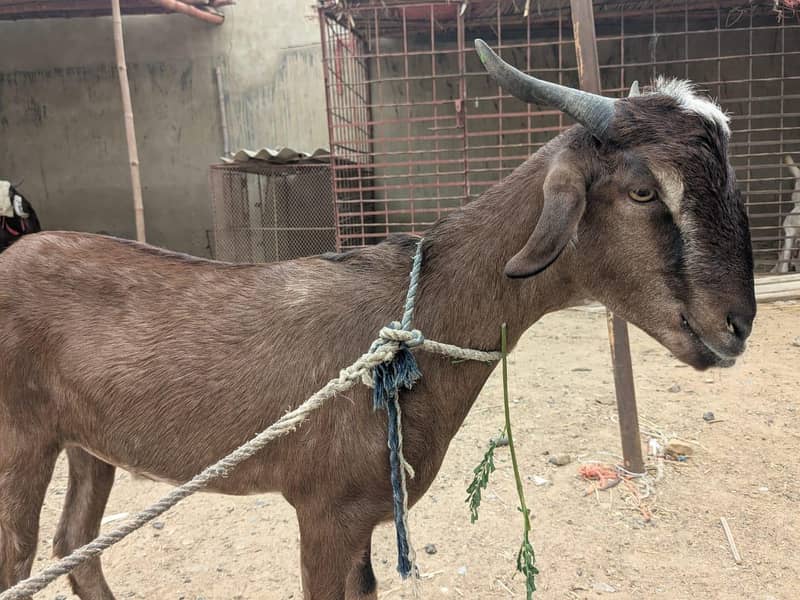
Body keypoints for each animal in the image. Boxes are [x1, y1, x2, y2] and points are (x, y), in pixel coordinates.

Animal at [0, 41, 755, 600]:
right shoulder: (323, 512)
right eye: (643, 190)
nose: (737, 325)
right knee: (22, 559)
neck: (411, 315)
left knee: (75, 547)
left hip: (88, 443)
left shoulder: (365, 515)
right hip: (20, 439)